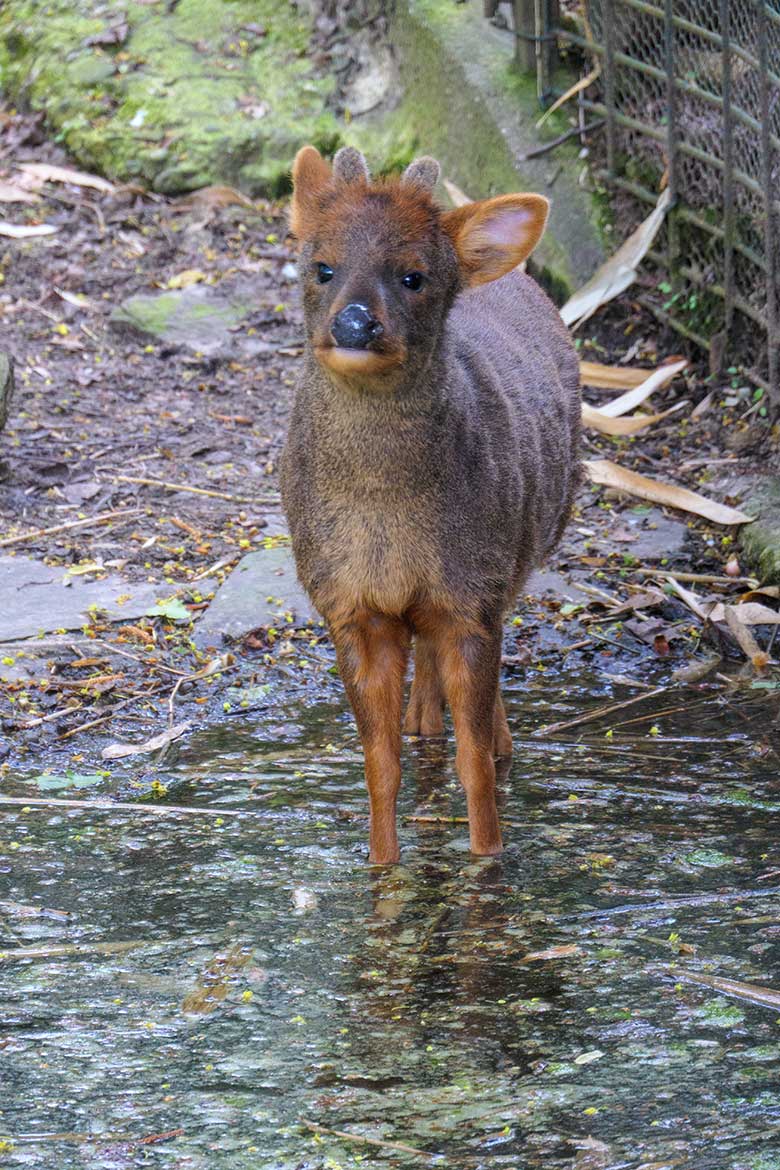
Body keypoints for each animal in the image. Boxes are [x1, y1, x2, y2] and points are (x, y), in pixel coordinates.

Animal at [280, 146, 580, 865]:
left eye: (413, 276)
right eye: (321, 266)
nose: (354, 321)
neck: (387, 520)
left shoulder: (471, 594)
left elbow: (474, 767)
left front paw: (488, 857)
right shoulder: (348, 604)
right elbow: (378, 764)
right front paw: (381, 865)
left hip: (517, 552)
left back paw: (489, 737)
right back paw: (423, 721)